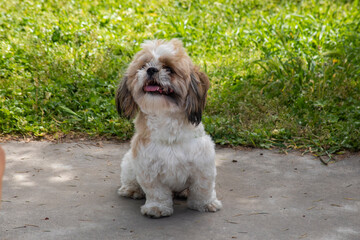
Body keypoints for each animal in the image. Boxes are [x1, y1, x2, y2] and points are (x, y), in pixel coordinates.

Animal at [115, 39, 222, 218]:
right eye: (143, 66)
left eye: (169, 69)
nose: (151, 69)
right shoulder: (148, 168)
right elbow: (156, 192)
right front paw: (156, 208)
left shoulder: (202, 165)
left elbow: (202, 189)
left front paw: (205, 204)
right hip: (129, 163)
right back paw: (131, 189)